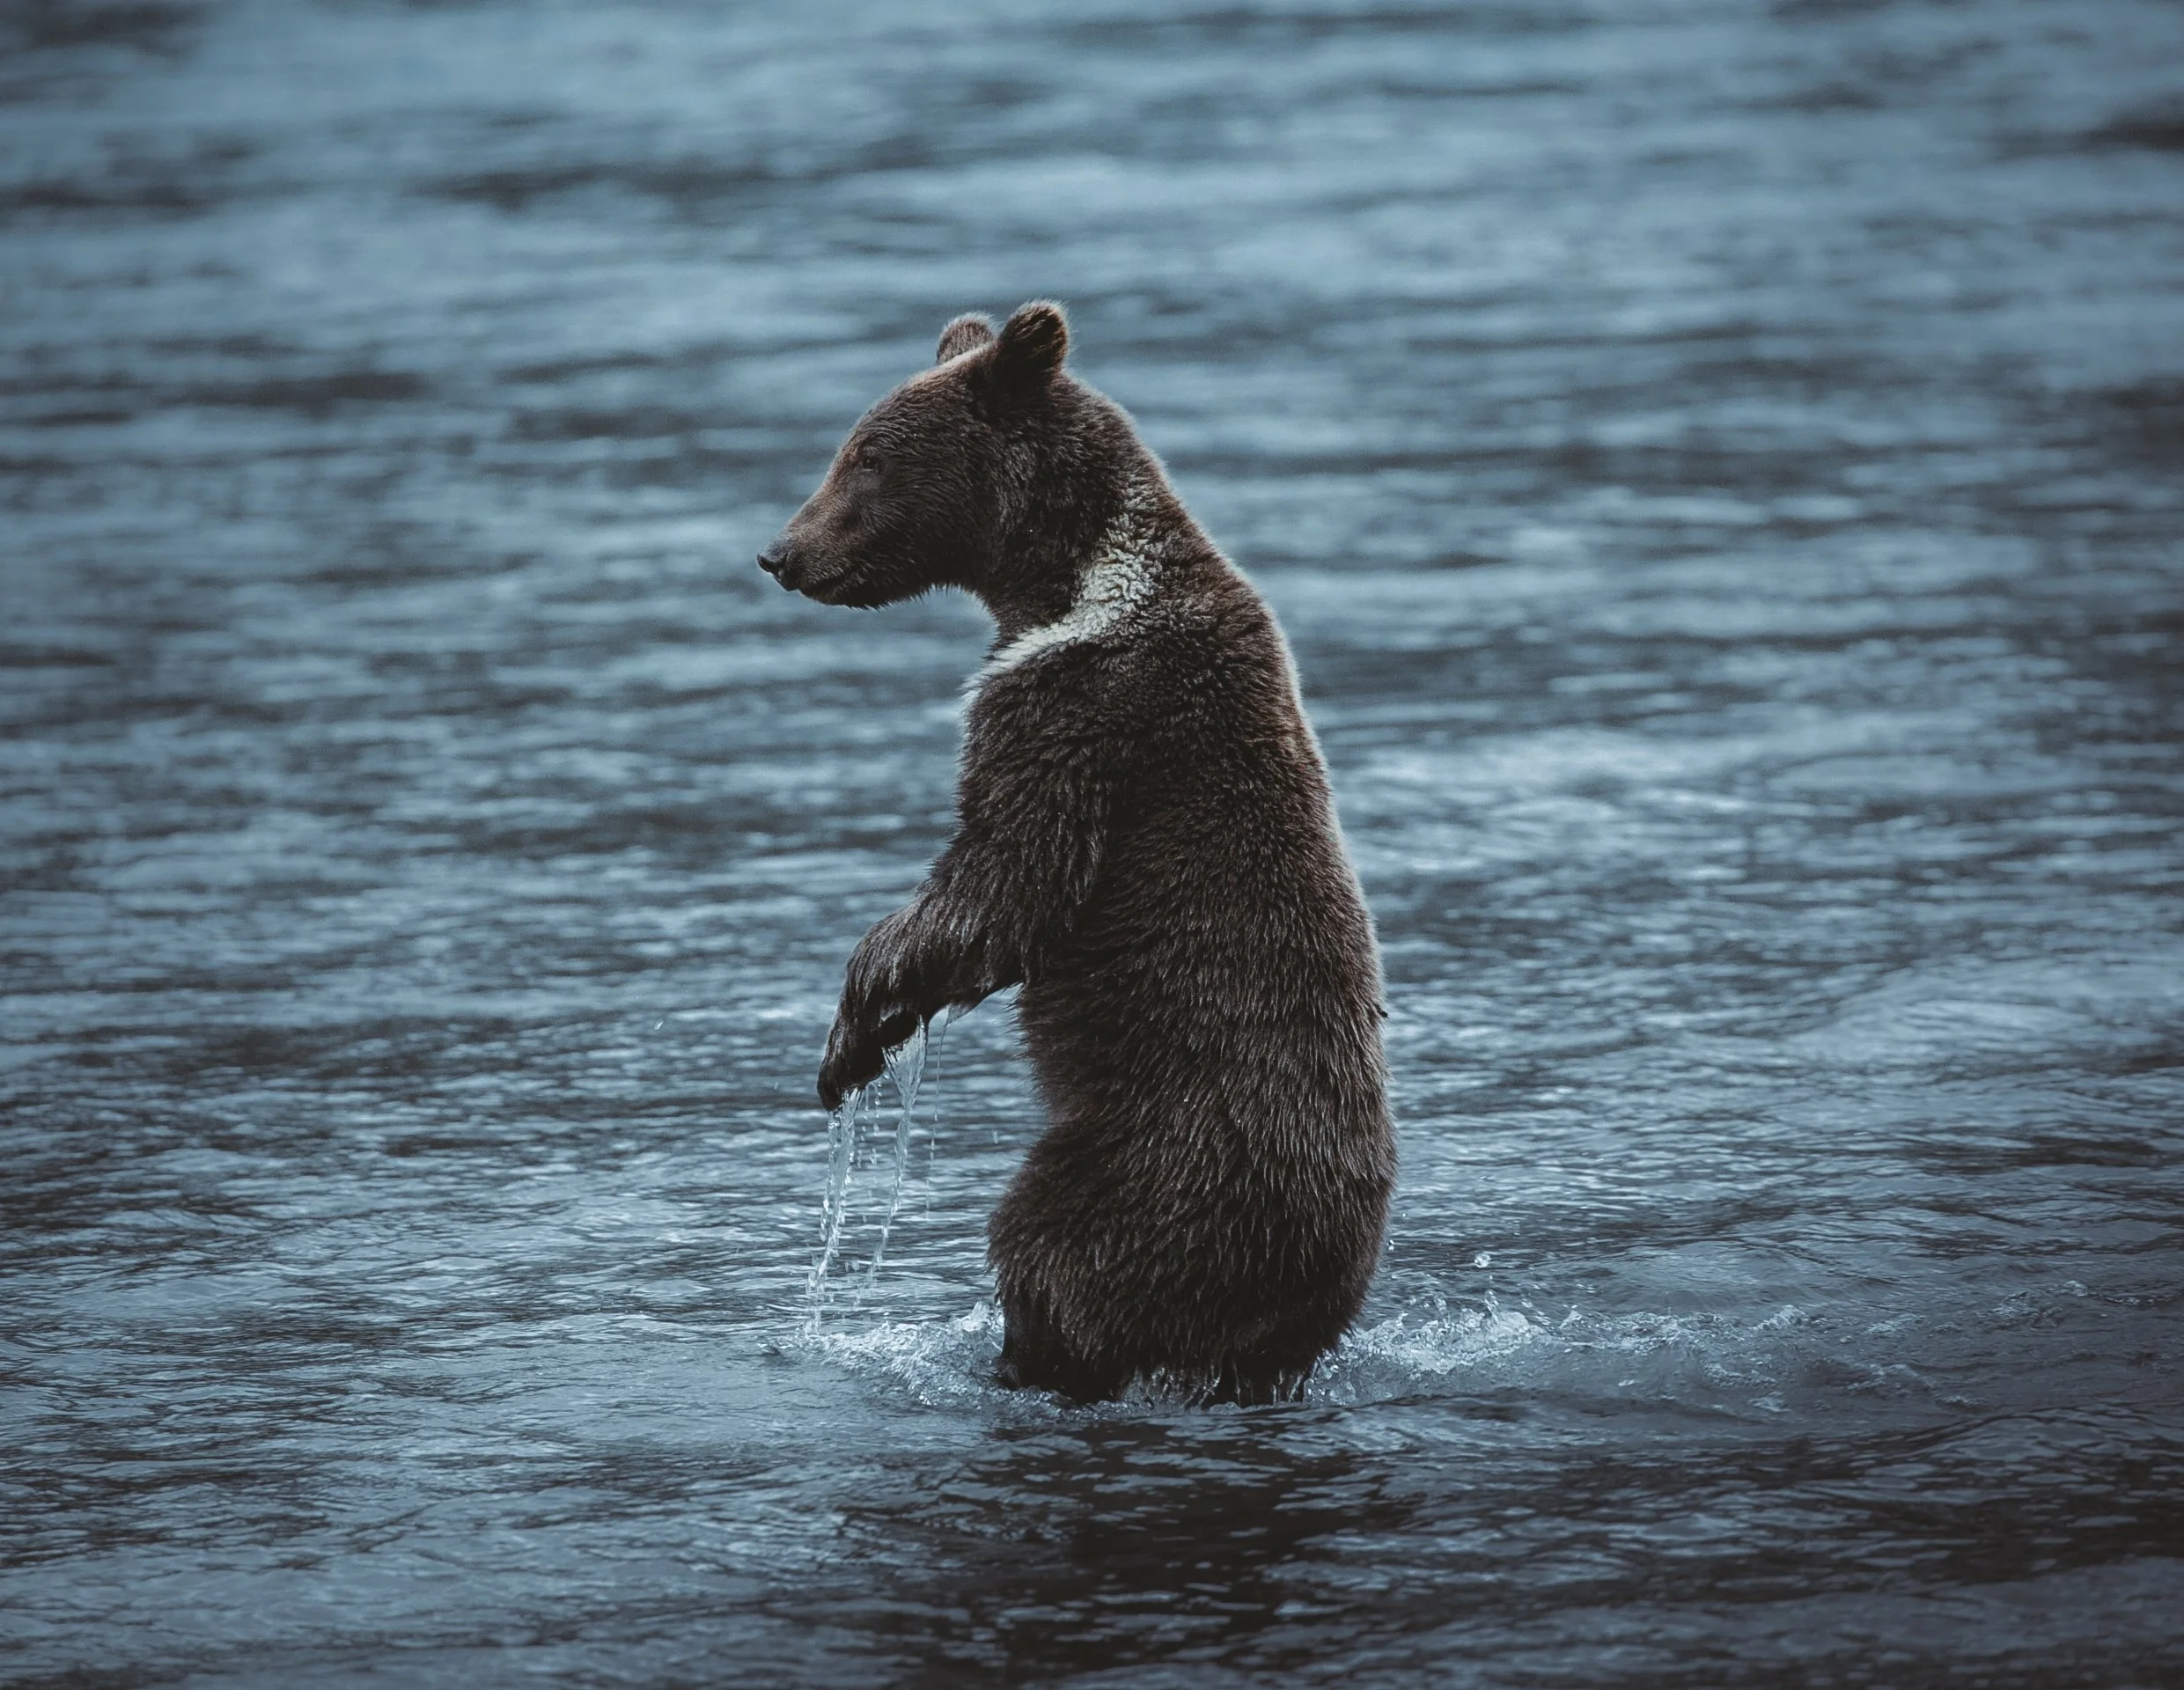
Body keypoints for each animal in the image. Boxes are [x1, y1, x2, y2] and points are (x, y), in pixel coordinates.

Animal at [758, 302, 1395, 1405]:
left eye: (866, 459)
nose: (781, 553)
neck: (1063, 587)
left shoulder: (1083, 715)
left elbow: (1001, 884)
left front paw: (852, 1041)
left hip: (1150, 1163)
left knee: (1051, 1254)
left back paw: (1021, 1354)